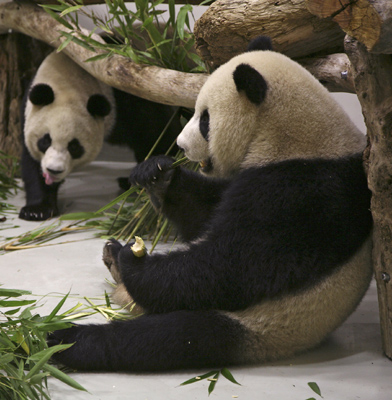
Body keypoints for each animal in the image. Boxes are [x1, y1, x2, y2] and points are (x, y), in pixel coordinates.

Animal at [19, 51, 181, 220]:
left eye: (74, 147)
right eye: (45, 141)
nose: (54, 171)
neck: (67, 82)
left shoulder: (126, 100)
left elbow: (156, 134)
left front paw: (155, 171)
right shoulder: (28, 114)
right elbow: (32, 163)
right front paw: (37, 210)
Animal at [47, 37, 372, 372]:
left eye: (204, 120)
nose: (179, 145)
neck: (297, 135)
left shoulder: (300, 191)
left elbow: (231, 264)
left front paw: (134, 262)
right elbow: (204, 213)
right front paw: (158, 175)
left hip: (263, 324)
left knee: (166, 337)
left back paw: (67, 339)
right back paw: (110, 259)